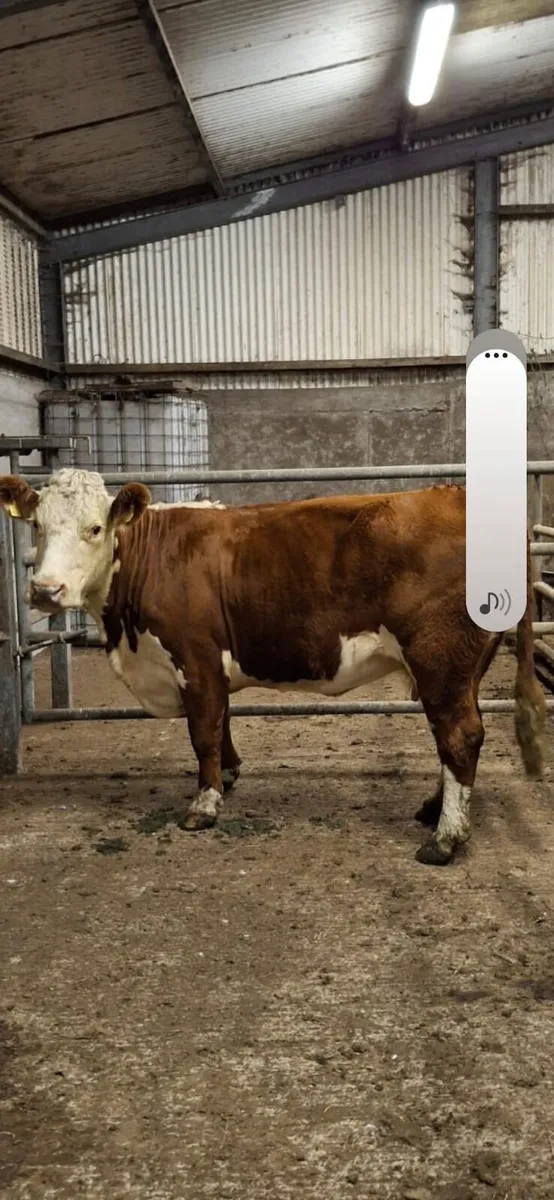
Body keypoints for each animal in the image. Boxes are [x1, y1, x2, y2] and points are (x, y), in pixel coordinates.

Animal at [0, 468, 546, 866]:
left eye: (95, 529)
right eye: (37, 526)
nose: (45, 591)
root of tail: (457, 495)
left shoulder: (195, 658)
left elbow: (203, 731)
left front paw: (204, 805)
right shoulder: (211, 667)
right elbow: (222, 723)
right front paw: (229, 775)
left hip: (439, 657)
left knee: (459, 735)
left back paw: (445, 839)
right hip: (463, 666)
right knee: (458, 735)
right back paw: (436, 810)